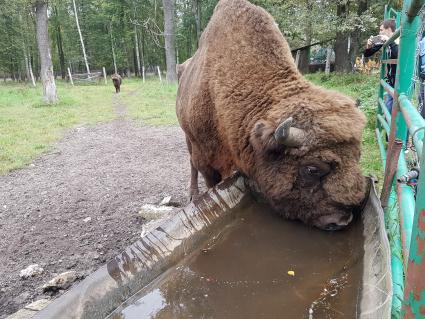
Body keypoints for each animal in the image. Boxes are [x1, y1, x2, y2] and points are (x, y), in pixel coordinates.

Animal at [174, 0, 366, 231]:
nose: (341, 220)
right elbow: (209, 182)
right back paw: (193, 195)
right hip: (188, 138)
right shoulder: (206, 159)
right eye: (311, 169)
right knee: (191, 164)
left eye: (358, 156)